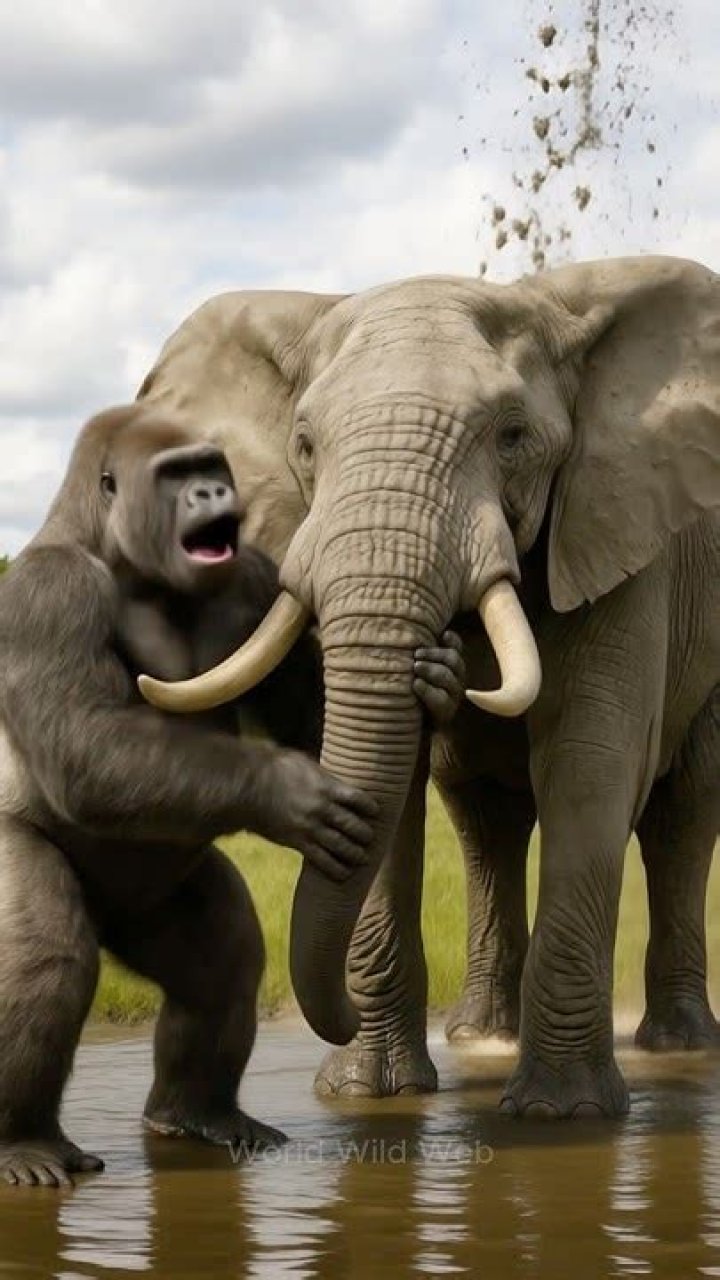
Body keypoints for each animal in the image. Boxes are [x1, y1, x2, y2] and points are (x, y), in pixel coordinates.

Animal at [0, 404, 465, 1187]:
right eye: (175, 475)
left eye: (210, 466)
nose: (216, 494)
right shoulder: (46, 592)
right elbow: (83, 742)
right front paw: (288, 792)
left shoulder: (254, 577)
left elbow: (312, 715)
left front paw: (441, 682)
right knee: (45, 956)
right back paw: (22, 1144)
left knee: (223, 957)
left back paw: (197, 1115)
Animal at [137, 256, 720, 1117]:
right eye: (304, 445)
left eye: (513, 437)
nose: (436, 663)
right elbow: (389, 784)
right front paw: (366, 1093)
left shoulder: (615, 523)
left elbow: (588, 760)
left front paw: (561, 1113)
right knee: (484, 821)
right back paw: (481, 1036)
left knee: (682, 816)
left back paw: (678, 1046)